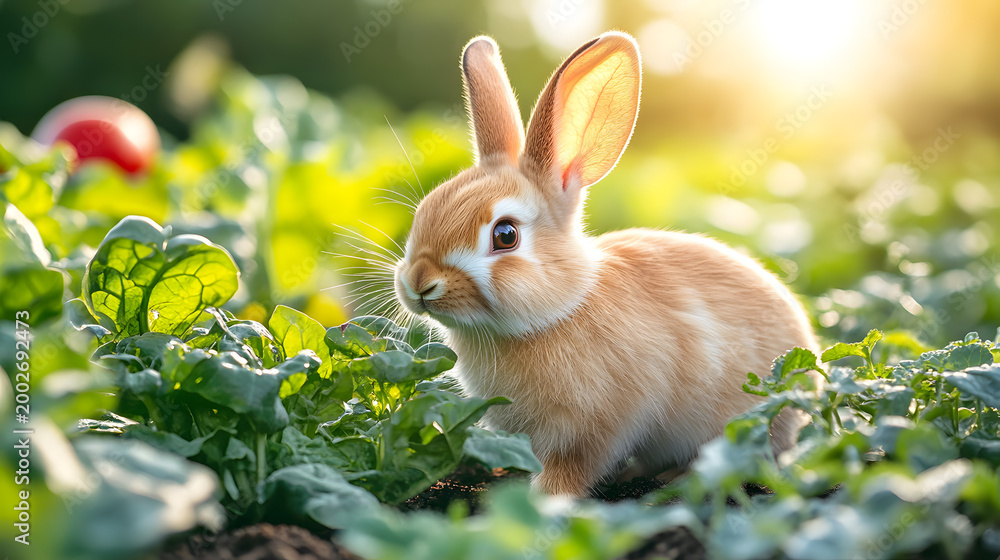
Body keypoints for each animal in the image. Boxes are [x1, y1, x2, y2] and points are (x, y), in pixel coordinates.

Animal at [392, 31, 820, 497]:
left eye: (505, 235)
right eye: (424, 210)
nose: (419, 282)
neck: (557, 312)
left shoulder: (593, 427)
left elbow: (572, 469)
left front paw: (546, 498)